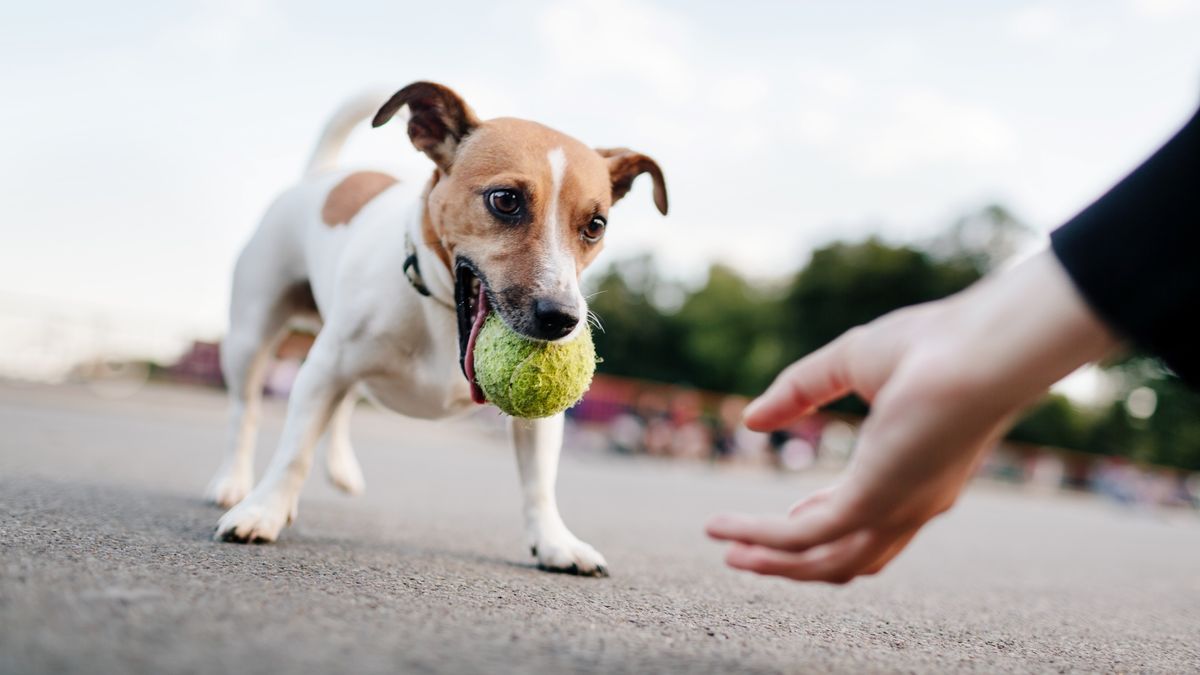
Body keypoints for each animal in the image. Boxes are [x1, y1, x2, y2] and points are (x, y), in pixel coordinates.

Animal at [207, 78, 672, 571]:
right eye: (505, 200)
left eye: (595, 225)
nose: (562, 318)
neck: (444, 314)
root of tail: (322, 176)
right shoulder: (323, 370)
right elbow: (293, 452)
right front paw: (264, 510)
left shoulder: (540, 420)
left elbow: (539, 483)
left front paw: (554, 542)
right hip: (251, 336)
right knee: (245, 411)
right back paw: (233, 483)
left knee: (343, 405)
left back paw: (340, 469)